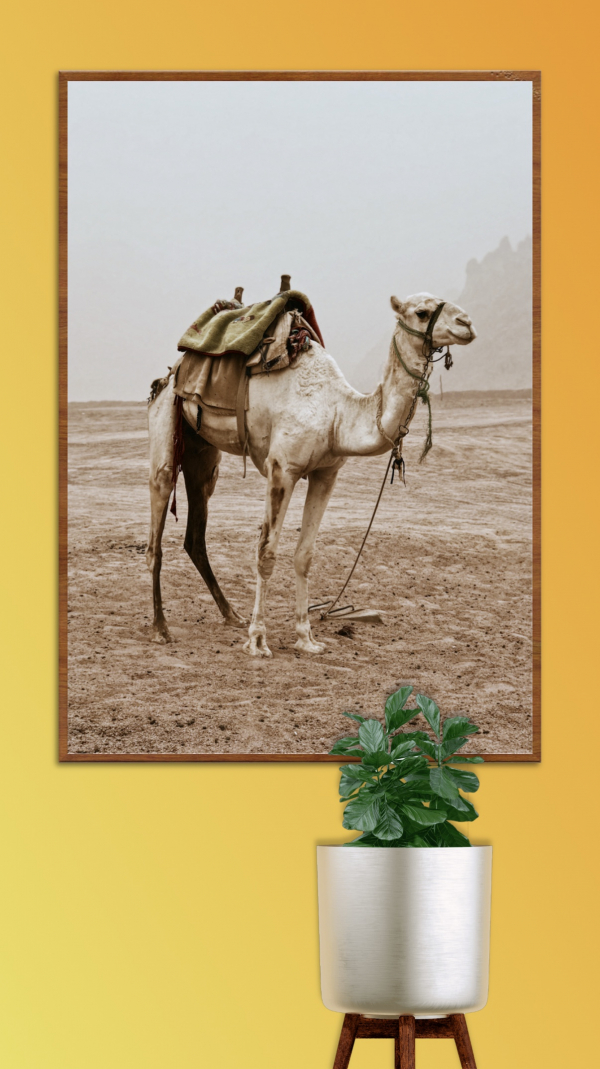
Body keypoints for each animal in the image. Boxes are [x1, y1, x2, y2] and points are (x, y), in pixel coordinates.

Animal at [146, 291, 476, 657]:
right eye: (421, 312)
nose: (467, 323)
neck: (337, 414)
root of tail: (170, 375)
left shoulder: (326, 474)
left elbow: (304, 555)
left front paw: (306, 637)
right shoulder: (282, 469)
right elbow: (266, 553)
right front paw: (258, 640)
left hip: (202, 453)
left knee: (195, 532)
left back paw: (231, 614)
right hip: (166, 421)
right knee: (156, 529)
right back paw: (161, 628)